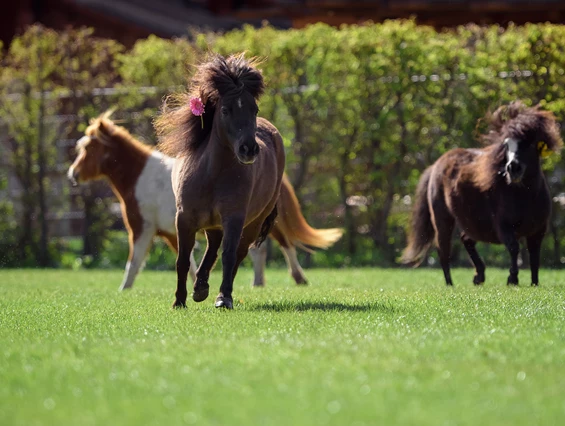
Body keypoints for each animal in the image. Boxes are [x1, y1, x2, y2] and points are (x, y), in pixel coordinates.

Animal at [66, 113, 340, 292]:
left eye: (88, 148)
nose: (73, 174)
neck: (143, 177)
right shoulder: (172, 231)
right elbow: (188, 262)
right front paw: (196, 285)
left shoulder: (142, 229)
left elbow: (133, 262)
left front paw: (124, 289)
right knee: (259, 249)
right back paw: (260, 282)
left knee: (282, 245)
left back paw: (296, 278)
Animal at [155, 55, 284, 312]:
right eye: (225, 109)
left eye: (254, 109)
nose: (249, 149)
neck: (211, 174)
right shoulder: (184, 218)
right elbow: (182, 260)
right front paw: (179, 301)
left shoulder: (234, 217)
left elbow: (229, 255)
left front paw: (224, 298)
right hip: (212, 222)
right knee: (212, 248)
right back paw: (200, 288)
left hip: (252, 222)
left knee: (236, 253)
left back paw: (212, 291)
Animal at [400, 100, 560, 286]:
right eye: (506, 145)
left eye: (529, 143)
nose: (512, 168)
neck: (525, 197)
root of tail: (435, 165)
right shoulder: (504, 226)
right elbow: (514, 248)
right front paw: (512, 279)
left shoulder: (538, 231)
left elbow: (534, 258)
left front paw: (534, 283)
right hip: (443, 219)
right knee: (443, 249)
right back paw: (450, 284)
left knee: (466, 239)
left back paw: (479, 275)